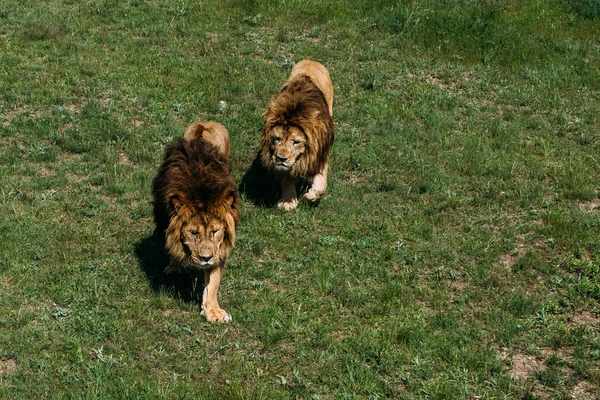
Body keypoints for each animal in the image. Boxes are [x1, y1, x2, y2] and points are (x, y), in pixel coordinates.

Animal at [151, 121, 240, 322]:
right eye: (193, 232)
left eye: (215, 231)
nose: (205, 258)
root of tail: (205, 122)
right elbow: (172, 246)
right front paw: (175, 266)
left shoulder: (219, 248)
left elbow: (213, 282)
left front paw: (213, 311)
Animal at [260, 60, 336, 209]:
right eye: (277, 139)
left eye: (296, 142)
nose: (281, 158)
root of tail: (311, 61)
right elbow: (287, 178)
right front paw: (288, 201)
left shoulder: (321, 154)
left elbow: (321, 184)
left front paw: (309, 197)